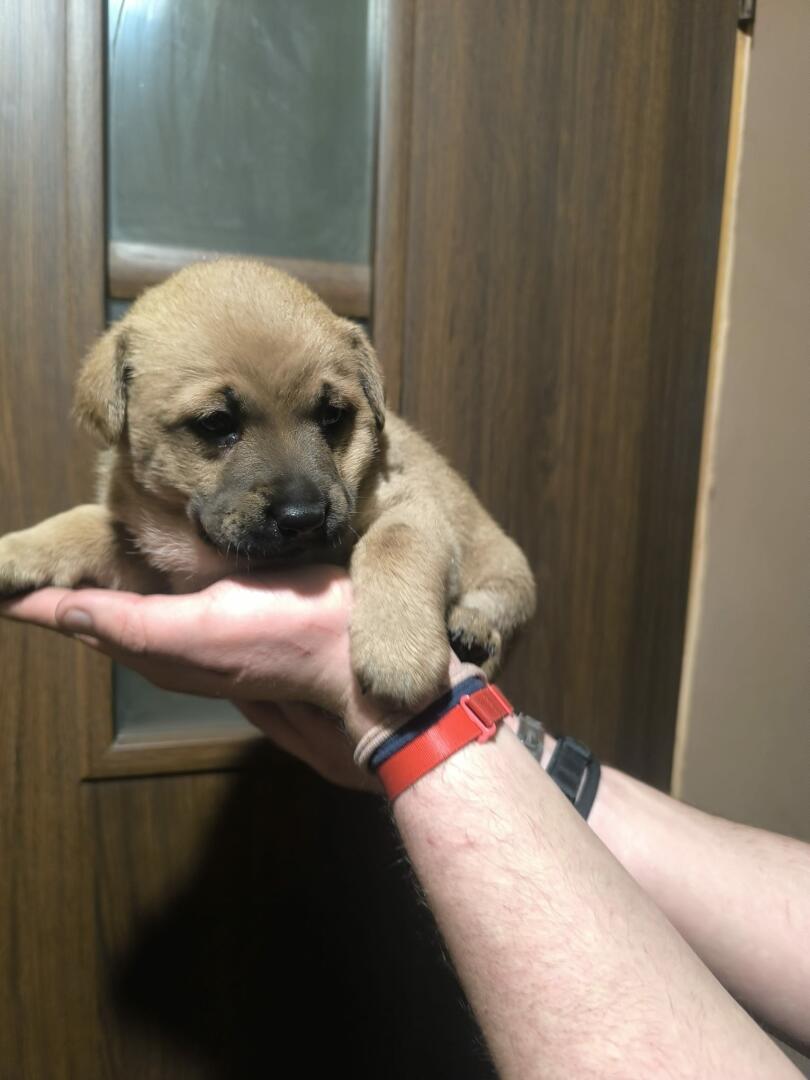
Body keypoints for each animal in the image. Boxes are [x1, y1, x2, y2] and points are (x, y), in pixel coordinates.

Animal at [0, 259, 535, 708]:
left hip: (507, 566)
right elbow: (84, 523)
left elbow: (394, 543)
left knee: (498, 604)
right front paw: (18, 549)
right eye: (216, 423)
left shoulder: (414, 506)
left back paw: (472, 632)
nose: (304, 518)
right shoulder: (154, 564)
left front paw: (398, 651)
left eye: (333, 416)